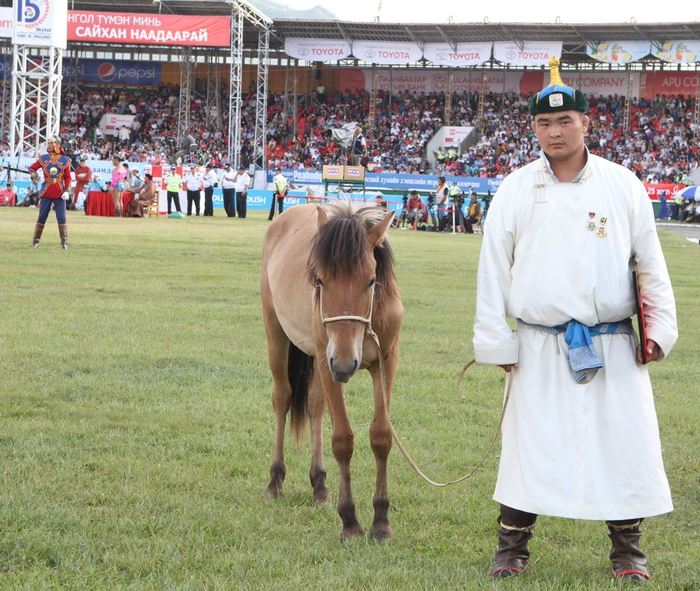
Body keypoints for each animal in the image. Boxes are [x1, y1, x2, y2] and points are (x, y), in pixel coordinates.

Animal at [262, 204, 404, 540]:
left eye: (371, 280)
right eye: (320, 280)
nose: (343, 363)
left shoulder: (386, 362)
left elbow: (381, 435)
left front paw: (381, 521)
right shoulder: (329, 364)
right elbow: (342, 440)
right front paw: (350, 521)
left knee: (315, 406)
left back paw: (319, 484)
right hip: (277, 334)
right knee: (282, 398)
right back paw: (275, 481)